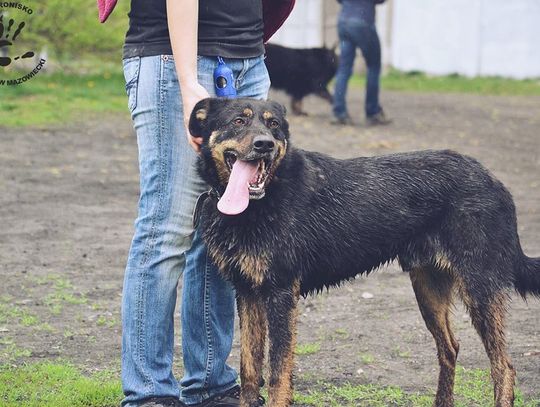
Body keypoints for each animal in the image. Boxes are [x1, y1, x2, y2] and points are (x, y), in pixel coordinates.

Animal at [188, 97, 536, 406]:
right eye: (238, 121)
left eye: (273, 125)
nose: (265, 145)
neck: (260, 201)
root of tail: (494, 180)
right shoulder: (247, 293)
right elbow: (249, 369)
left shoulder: (281, 294)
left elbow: (276, 375)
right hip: (428, 289)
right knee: (450, 348)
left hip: (479, 289)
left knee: (504, 367)